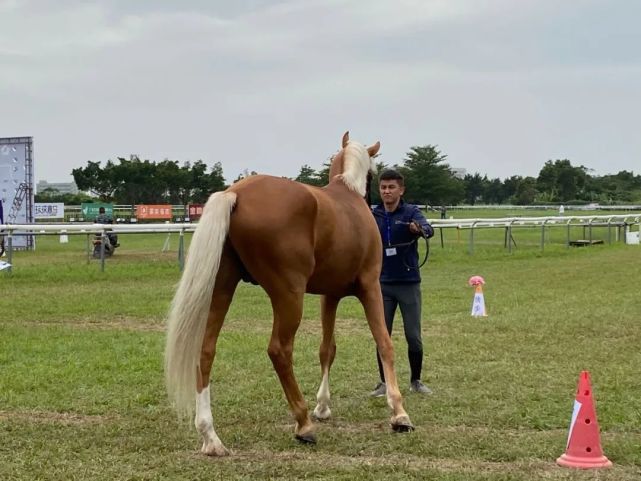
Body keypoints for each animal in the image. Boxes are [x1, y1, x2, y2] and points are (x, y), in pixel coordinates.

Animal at [165, 131, 412, 454]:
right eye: (375, 173)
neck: (348, 197)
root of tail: (235, 194)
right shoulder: (370, 287)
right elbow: (384, 343)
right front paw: (399, 413)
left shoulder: (329, 296)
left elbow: (327, 349)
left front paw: (323, 407)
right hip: (289, 295)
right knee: (279, 350)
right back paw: (303, 424)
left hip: (221, 288)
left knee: (206, 350)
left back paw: (211, 437)